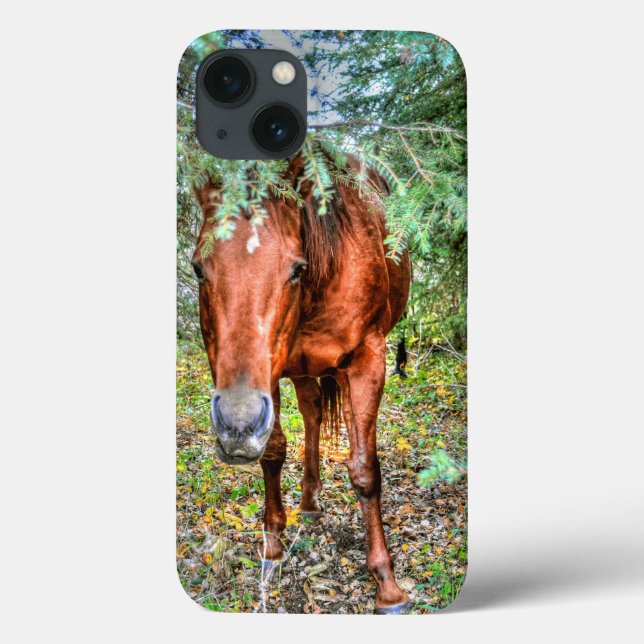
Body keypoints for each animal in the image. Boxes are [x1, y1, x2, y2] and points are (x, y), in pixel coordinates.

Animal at [191, 153, 412, 613]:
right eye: (198, 268)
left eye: (296, 268)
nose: (237, 425)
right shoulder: (270, 375)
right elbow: (274, 452)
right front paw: (272, 550)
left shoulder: (369, 361)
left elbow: (365, 469)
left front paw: (387, 584)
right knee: (311, 415)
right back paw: (308, 503)